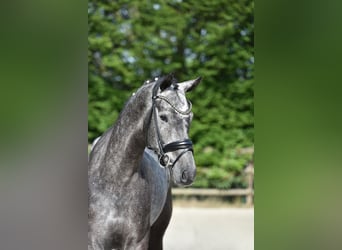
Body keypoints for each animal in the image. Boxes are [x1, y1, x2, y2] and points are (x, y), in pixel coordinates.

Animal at [88, 74, 202, 250]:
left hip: (157, 234)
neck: (115, 181)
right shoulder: (94, 242)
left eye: (190, 118)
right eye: (163, 117)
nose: (188, 172)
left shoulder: (138, 242)